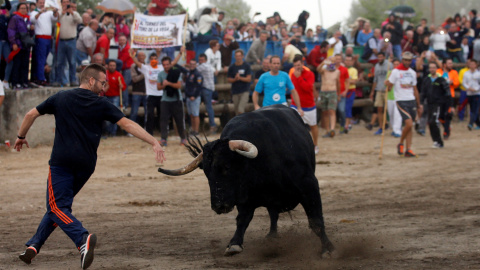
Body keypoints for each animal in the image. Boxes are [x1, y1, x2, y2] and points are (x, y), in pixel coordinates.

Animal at [158, 104, 334, 256]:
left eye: (227, 167)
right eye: (206, 173)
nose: (218, 206)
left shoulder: (309, 185)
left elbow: (316, 220)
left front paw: (327, 249)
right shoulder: (245, 196)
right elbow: (243, 219)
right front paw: (234, 244)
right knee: (273, 214)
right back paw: (272, 235)